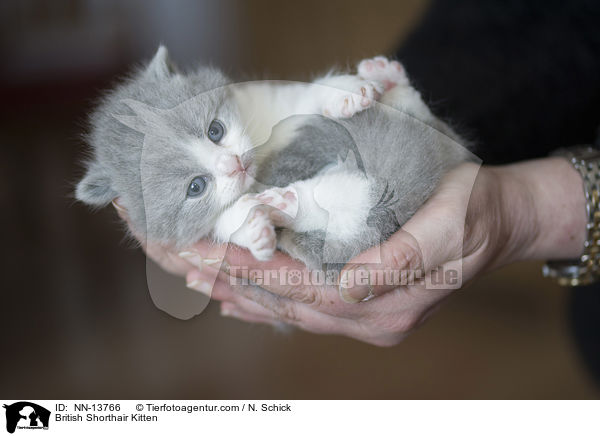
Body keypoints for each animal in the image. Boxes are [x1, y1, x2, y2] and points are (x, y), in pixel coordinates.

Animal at [76, 46, 468, 270]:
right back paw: (285, 207)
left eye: (215, 130)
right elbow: (226, 222)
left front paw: (344, 92)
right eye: (196, 187)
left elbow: (306, 95)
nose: (234, 165)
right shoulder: (198, 227)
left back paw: (386, 76)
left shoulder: (273, 100)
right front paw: (253, 229)